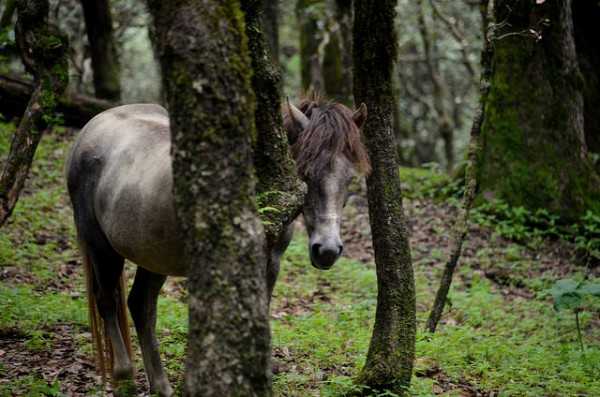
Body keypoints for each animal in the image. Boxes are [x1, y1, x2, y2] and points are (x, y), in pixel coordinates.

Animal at [65, 96, 370, 396]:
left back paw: (161, 387)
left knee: (141, 305)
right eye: (304, 173)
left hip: (152, 257)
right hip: (101, 248)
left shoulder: (270, 265)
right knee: (107, 300)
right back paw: (124, 377)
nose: (327, 250)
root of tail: (91, 128)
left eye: (349, 178)